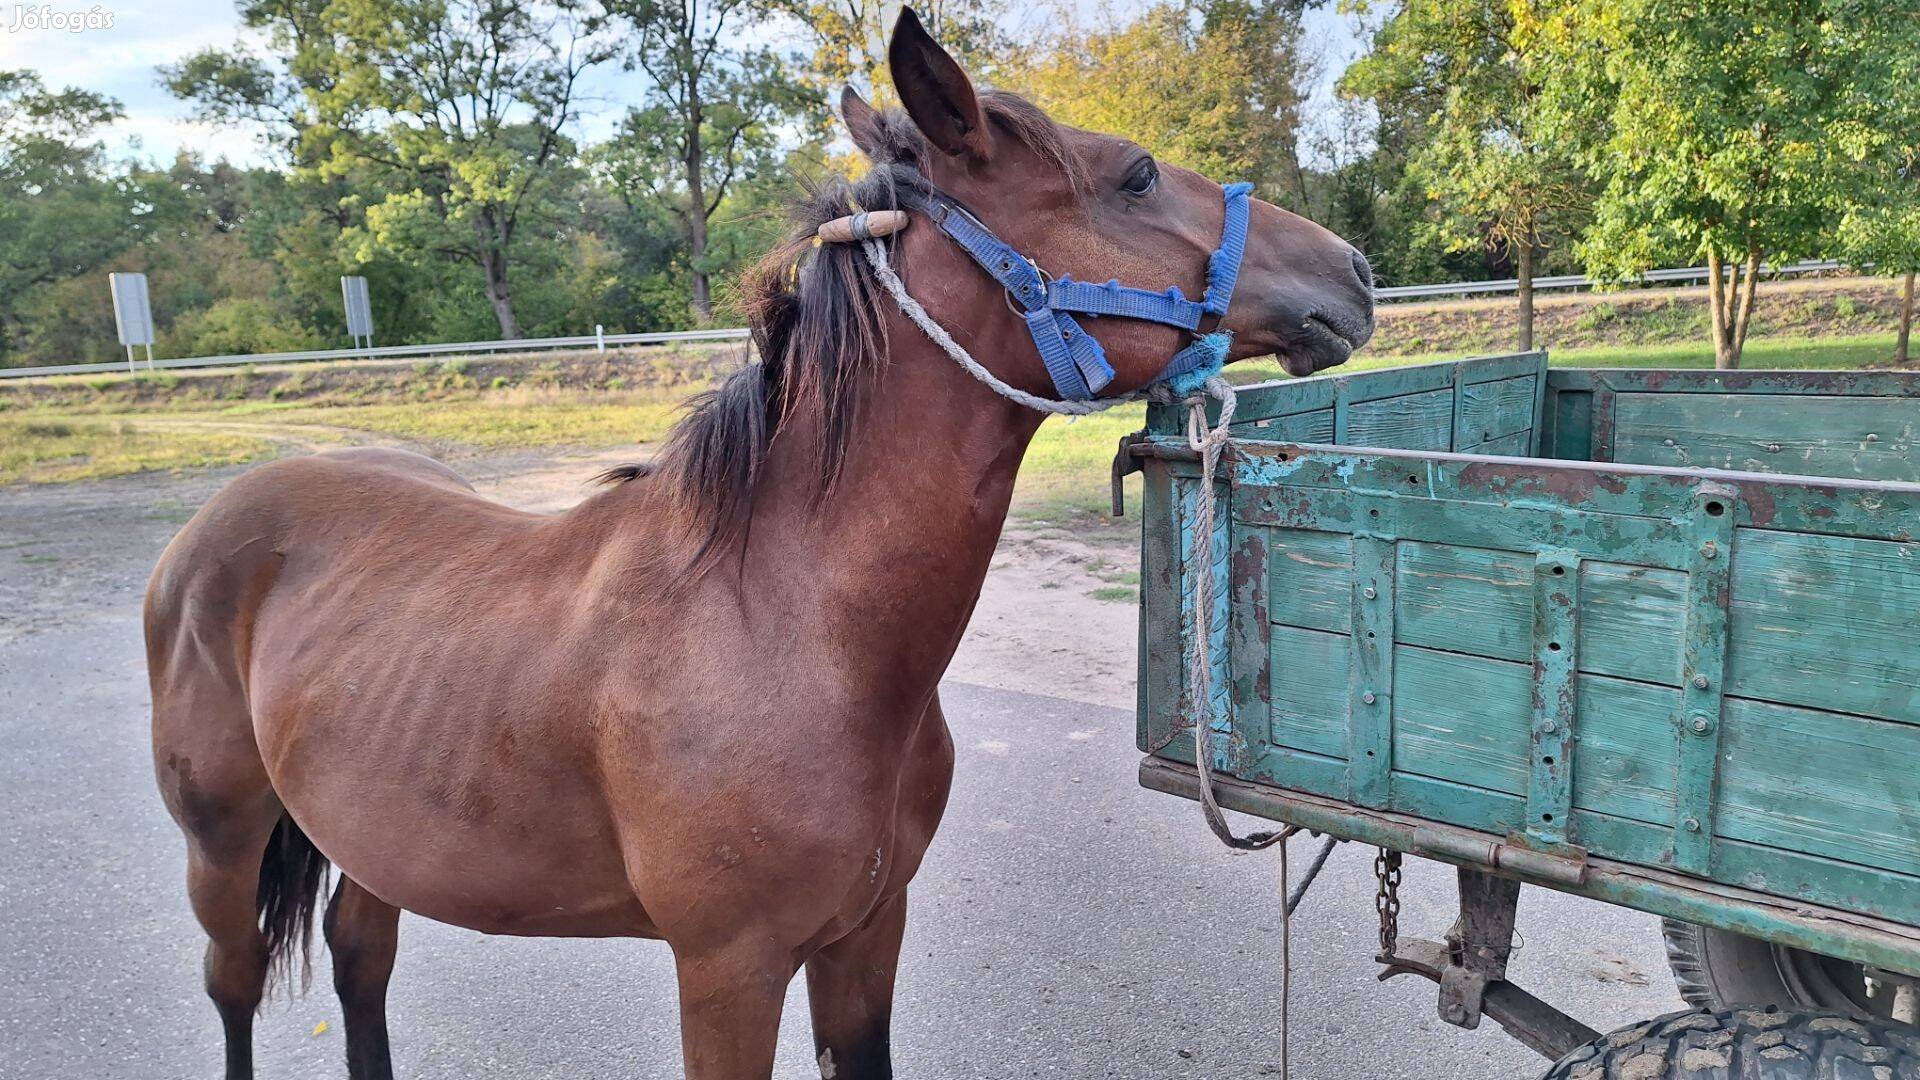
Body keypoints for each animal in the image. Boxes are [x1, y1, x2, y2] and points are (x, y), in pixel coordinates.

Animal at [149, 10, 1374, 1076]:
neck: (787, 625)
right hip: (221, 851)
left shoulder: (865, 936)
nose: (1353, 273)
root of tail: (215, 527)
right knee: (233, 987)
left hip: (372, 843)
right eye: (1135, 173)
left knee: (361, 967)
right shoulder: (727, 973)